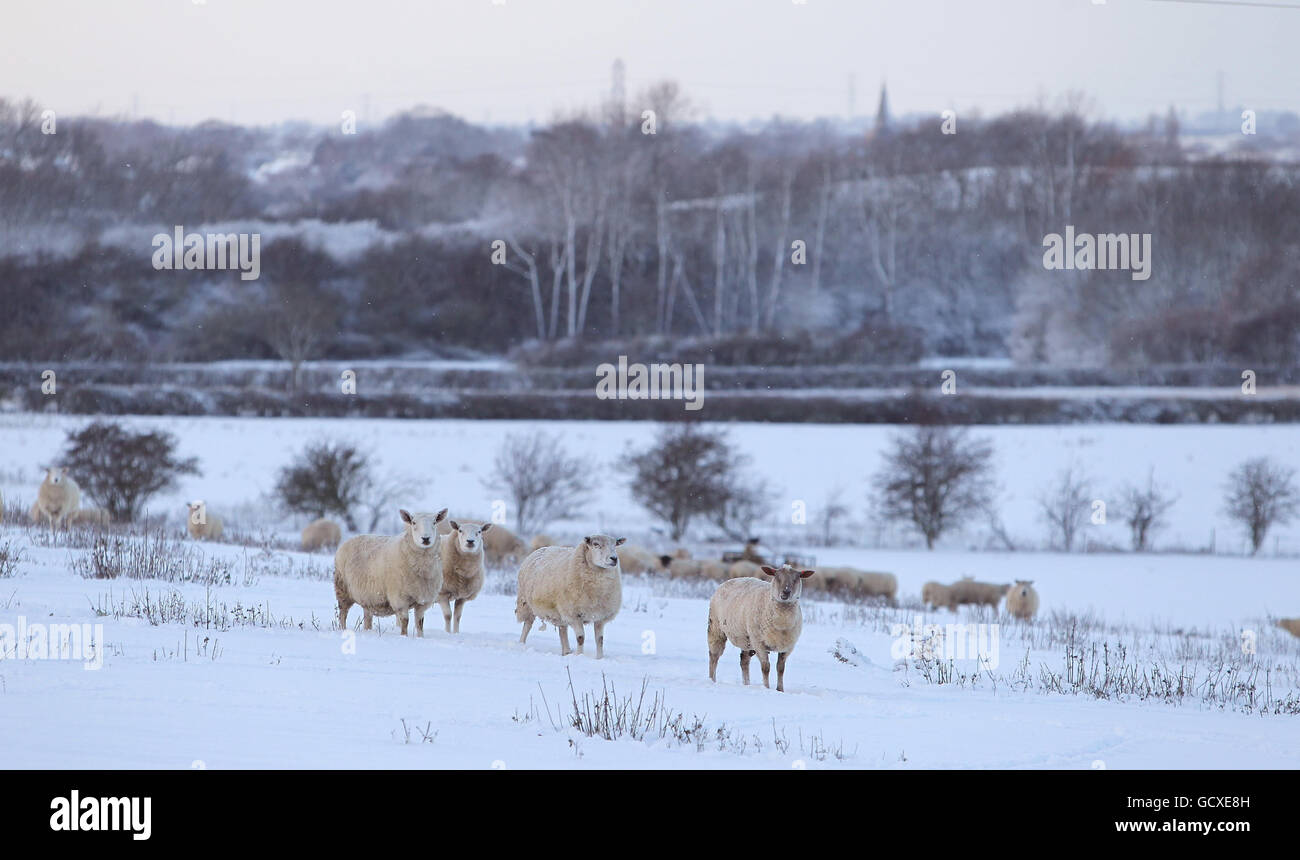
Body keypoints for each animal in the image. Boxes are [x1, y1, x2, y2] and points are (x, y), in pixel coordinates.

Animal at [712, 566, 811, 696]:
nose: (786, 592)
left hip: (747, 640)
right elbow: (766, 667)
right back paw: (711, 679)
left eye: (796, 578)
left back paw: (747, 684)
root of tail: (730, 580)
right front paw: (766, 688)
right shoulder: (759, 644)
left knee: (744, 661)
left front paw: (780, 690)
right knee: (714, 656)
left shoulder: (787, 647)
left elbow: (780, 668)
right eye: (776, 576)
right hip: (716, 627)